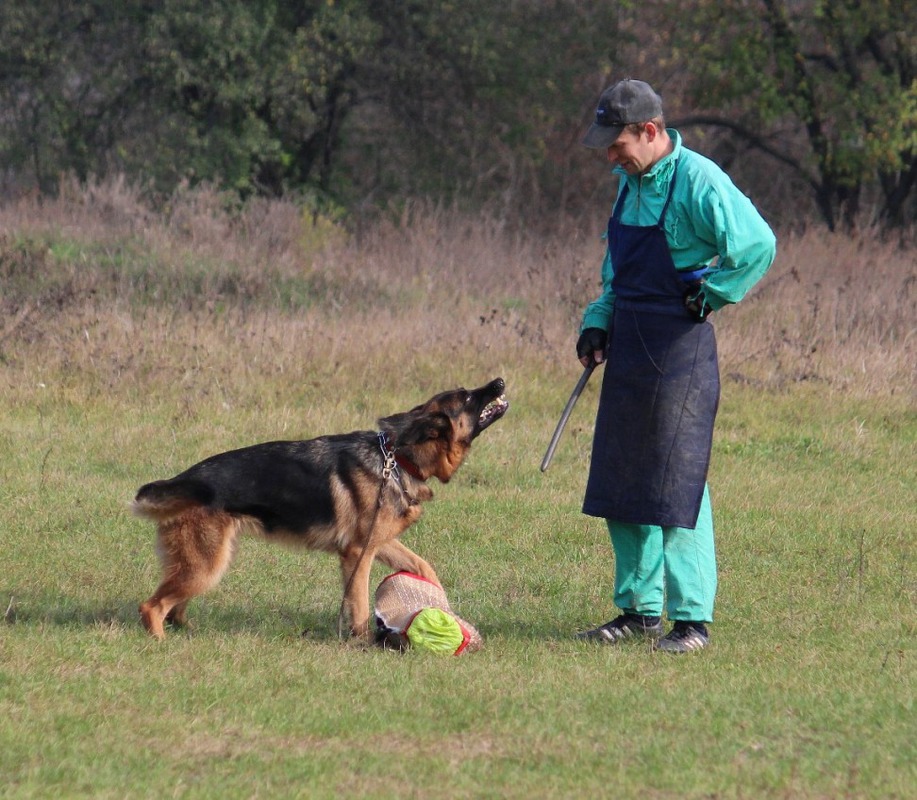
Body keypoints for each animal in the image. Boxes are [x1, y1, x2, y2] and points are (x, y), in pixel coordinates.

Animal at [131, 378, 508, 640]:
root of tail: (183, 480)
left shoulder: (379, 543)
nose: (500, 381)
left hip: (208, 562)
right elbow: (359, 604)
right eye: (468, 397)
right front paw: (362, 643)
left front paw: (437, 604)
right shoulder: (358, 554)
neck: (398, 457)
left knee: (173, 606)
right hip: (206, 566)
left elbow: (423, 567)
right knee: (151, 606)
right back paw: (160, 642)